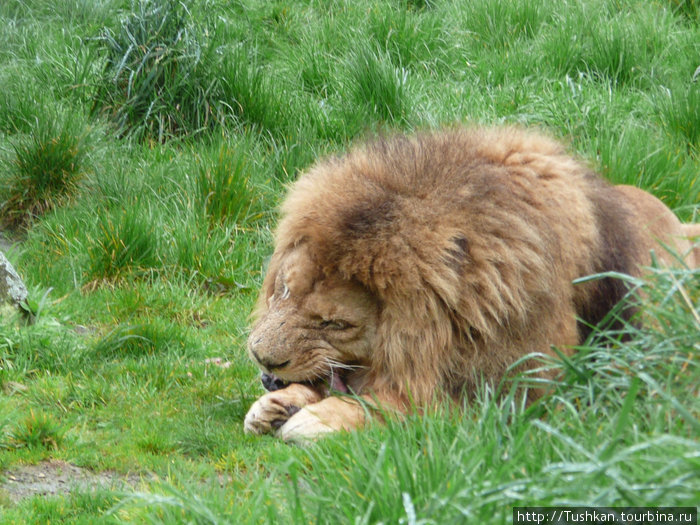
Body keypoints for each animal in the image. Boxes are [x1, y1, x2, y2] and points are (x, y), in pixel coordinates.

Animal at [242, 125, 700, 440]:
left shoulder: (511, 395)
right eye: (283, 290)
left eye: (336, 324)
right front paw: (277, 404)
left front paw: (316, 418)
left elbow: (399, 407)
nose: (262, 358)